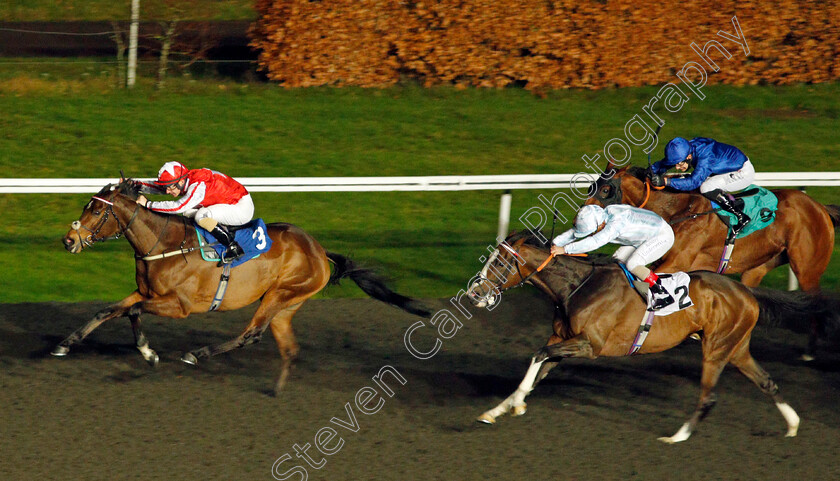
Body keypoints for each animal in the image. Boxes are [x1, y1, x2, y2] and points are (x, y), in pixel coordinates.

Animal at [57, 180, 434, 394]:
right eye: (85, 207)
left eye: (95, 211)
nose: (68, 240)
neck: (164, 243)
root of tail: (319, 249)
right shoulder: (148, 293)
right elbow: (108, 310)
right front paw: (65, 344)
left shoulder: (179, 305)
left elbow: (132, 312)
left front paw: (148, 352)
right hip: (286, 305)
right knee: (288, 347)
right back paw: (278, 390)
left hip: (280, 294)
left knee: (251, 334)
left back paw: (197, 354)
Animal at [466, 234, 820, 440]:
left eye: (499, 262)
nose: (474, 294)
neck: (576, 287)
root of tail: (745, 291)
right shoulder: (562, 340)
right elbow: (538, 365)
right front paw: (500, 409)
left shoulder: (590, 345)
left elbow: (538, 354)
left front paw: (515, 405)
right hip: (736, 348)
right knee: (766, 382)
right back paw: (792, 425)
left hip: (716, 348)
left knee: (709, 397)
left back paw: (676, 437)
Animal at [584, 165, 840, 356]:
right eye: (591, 186)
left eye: (606, 189)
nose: (583, 217)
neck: (677, 210)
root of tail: (820, 207)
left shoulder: (678, 260)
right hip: (760, 265)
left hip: (807, 268)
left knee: (815, 299)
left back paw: (810, 351)